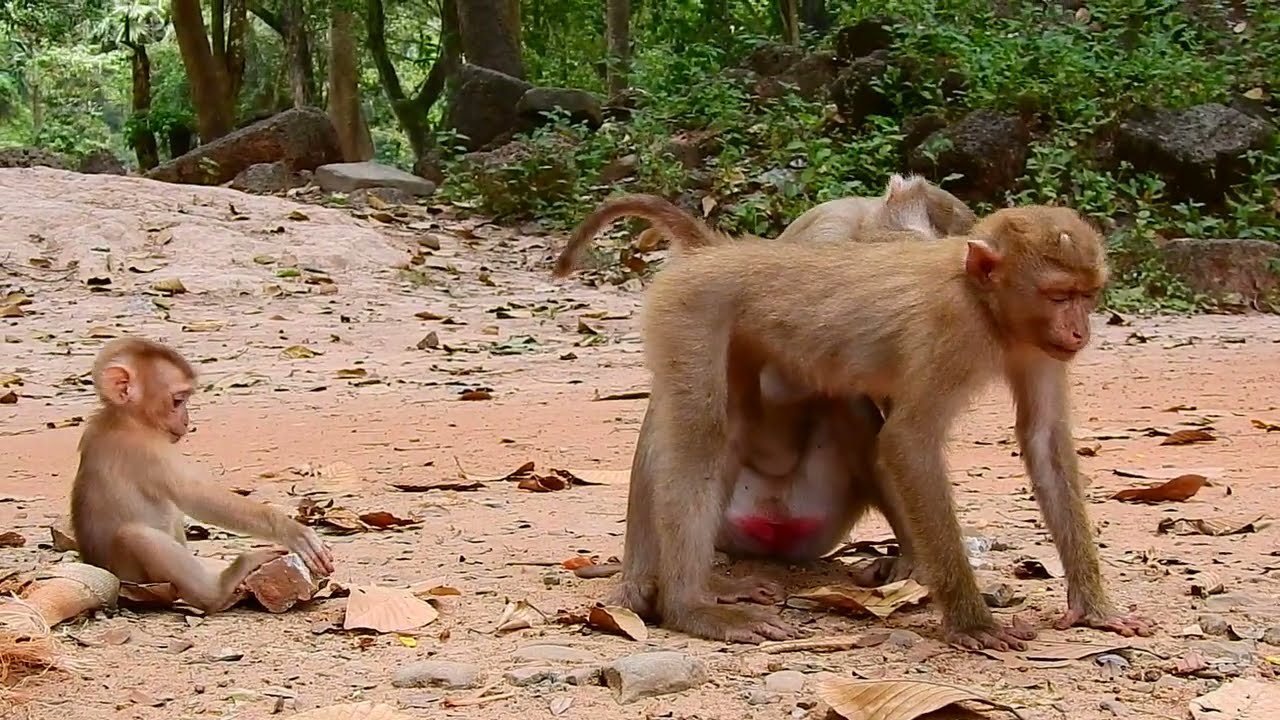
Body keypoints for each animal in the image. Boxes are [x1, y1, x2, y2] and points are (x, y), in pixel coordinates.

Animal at [70, 337, 336, 614]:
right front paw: (289, 529)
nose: (187, 421)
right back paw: (219, 590)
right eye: (178, 401)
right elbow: (195, 496)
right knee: (136, 536)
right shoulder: (146, 449)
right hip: (134, 580)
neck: (127, 418)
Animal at [629, 205, 1154, 648]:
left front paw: (1093, 608)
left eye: (1088, 295)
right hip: (692, 312)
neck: (984, 305)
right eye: (1059, 295)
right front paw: (972, 622)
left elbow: (1044, 439)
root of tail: (713, 252)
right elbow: (908, 442)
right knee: (701, 435)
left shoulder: (1038, 348)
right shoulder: (953, 330)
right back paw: (687, 605)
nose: (1080, 331)